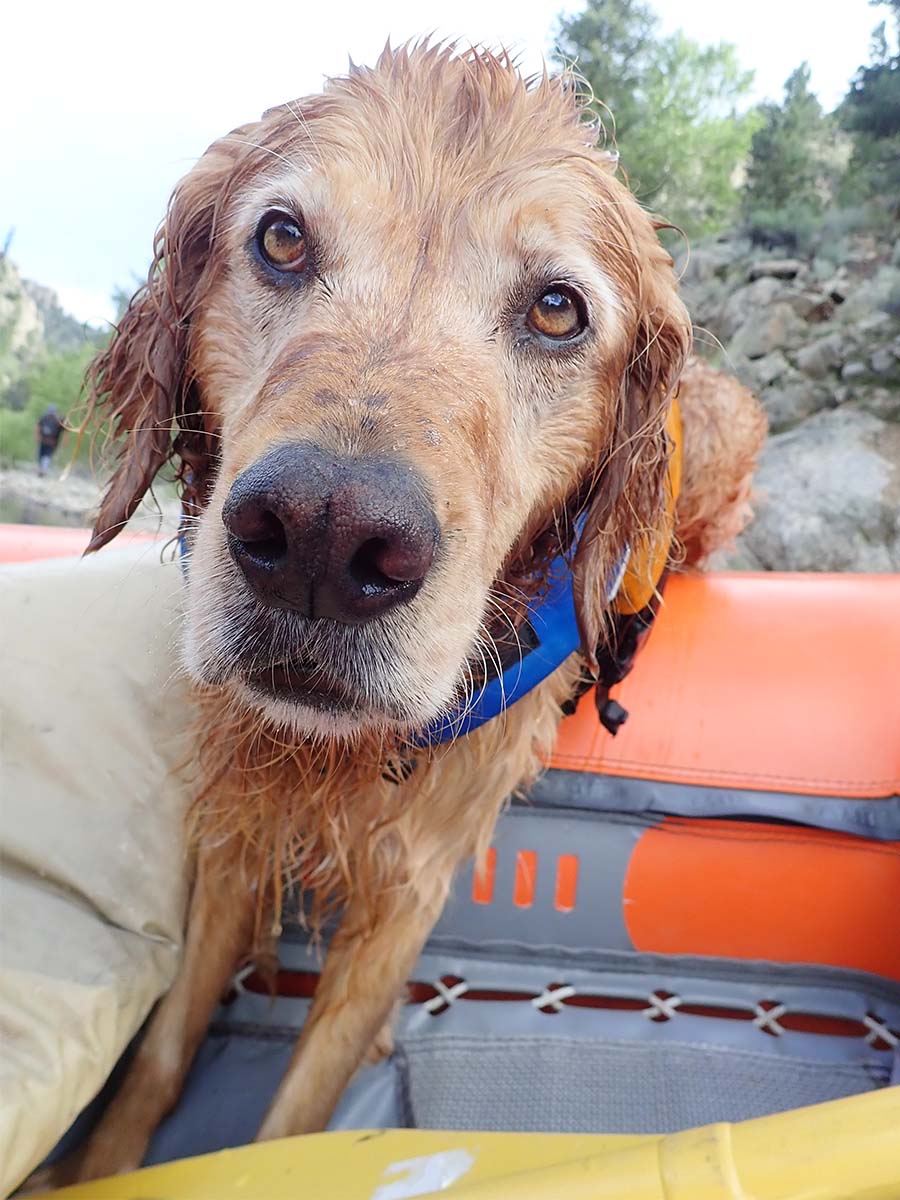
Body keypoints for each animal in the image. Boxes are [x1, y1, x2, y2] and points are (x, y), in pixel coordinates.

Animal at [38, 42, 763, 1185]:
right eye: (281, 238)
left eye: (557, 309)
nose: (324, 542)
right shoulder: (238, 826)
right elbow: (161, 1047)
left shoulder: (407, 887)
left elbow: (294, 1119)